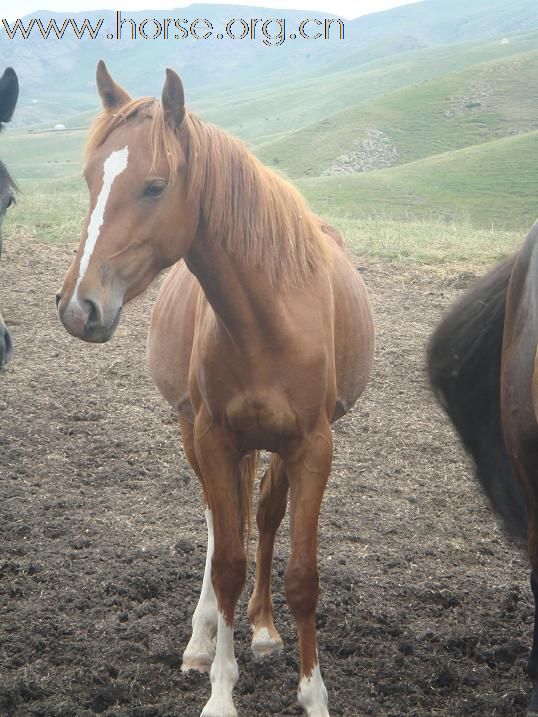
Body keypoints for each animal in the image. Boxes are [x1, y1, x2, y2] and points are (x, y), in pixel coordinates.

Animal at [55, 61, 372, 716]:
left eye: (154, 187)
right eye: (90, 178)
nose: (78, 307)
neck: (268, 319)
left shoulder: (314, 446)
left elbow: (302, 574)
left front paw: (313, 693)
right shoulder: (215, 437)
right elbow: (226, 561)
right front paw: (220, 690)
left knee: (266, 515)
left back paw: (265, 628)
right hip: (193, 430)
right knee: (214, 524)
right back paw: (203, 640)